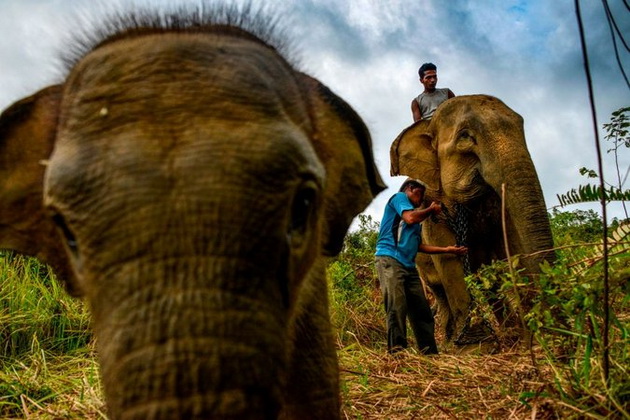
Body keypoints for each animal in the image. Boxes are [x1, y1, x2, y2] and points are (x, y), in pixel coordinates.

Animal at [392, 94, 556, 344]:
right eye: (466, 137)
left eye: (522, 127)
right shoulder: (432, 208)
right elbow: (448, 257)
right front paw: (474, 344)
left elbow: (512, 246)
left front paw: (531, 337)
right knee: (438, 289)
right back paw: (449, 339)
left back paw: (509, 333)